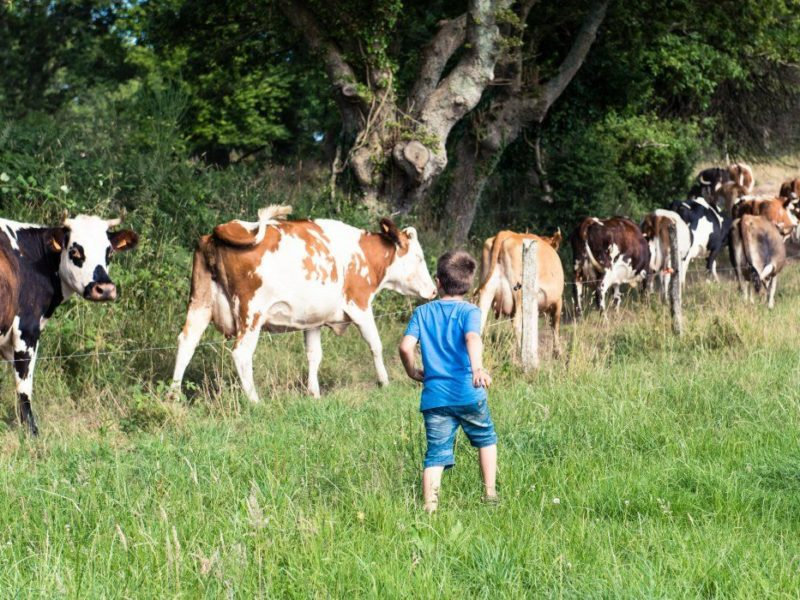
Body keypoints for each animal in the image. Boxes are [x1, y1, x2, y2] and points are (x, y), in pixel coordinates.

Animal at [0, 213, 138, 434]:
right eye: (75, 251)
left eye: (109, 252)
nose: (105, 289)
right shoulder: (26, 329)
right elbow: (24, 386)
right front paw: (32, 432)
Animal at [170, 205, 440, 398]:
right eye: (419, 257)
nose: (433, 290)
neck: (363, 255)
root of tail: (222, 228)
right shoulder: (360, 304)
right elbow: (375, 344)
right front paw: (384, 382)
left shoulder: (313, 319)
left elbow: (314, 354)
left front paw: (314, 393)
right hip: (251, 313)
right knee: (241, 353)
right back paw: (255, 401)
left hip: (200, 304)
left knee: (186, 343)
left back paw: (173, 396)